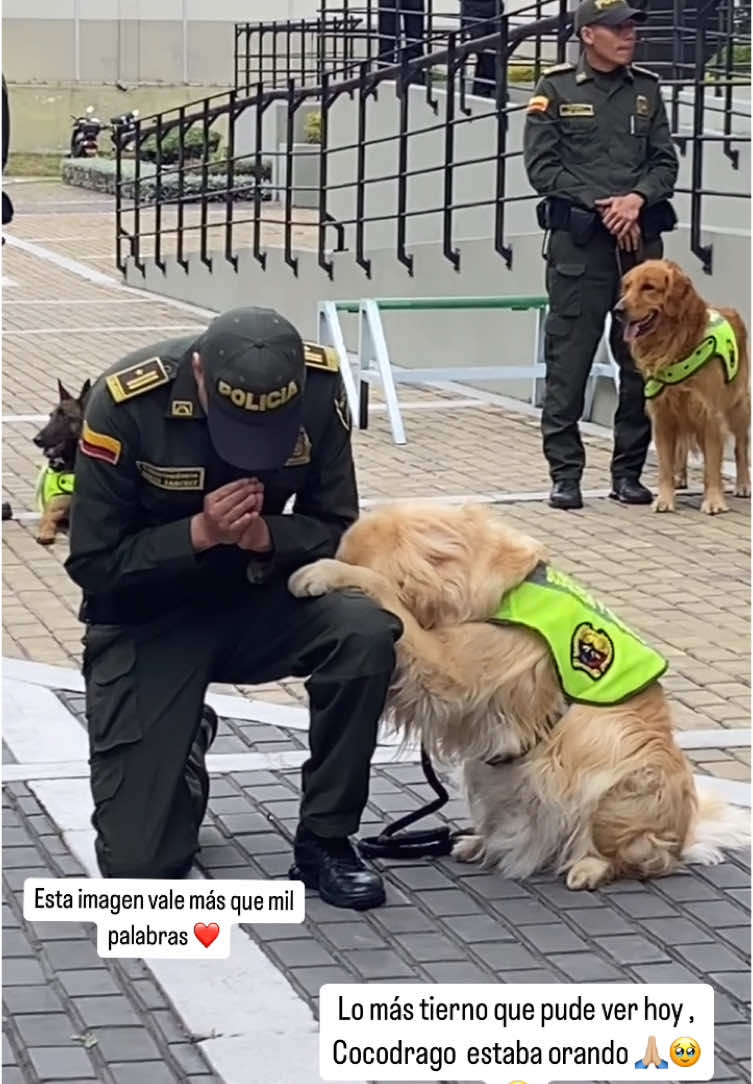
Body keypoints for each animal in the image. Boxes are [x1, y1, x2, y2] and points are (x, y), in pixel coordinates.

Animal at [33, 381, 91, 550]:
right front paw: (45, 533)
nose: (36, 439)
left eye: (65, 416)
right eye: (50, 416)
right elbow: (47, 521)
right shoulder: (53, 510)